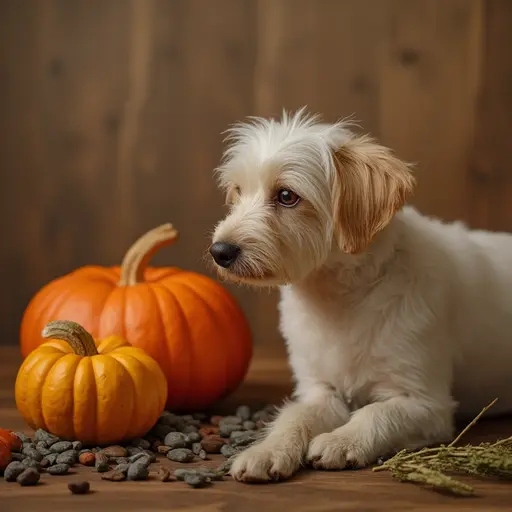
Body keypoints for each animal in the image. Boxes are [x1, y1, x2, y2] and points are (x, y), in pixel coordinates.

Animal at [208, 109, 512, 484]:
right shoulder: (320, 389)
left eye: (287, 196)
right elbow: (294, 417)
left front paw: (342, 441)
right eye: (238, 191)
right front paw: (267, 451)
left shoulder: (425, 403)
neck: (340, 300)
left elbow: (376, 413)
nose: (219, 251)